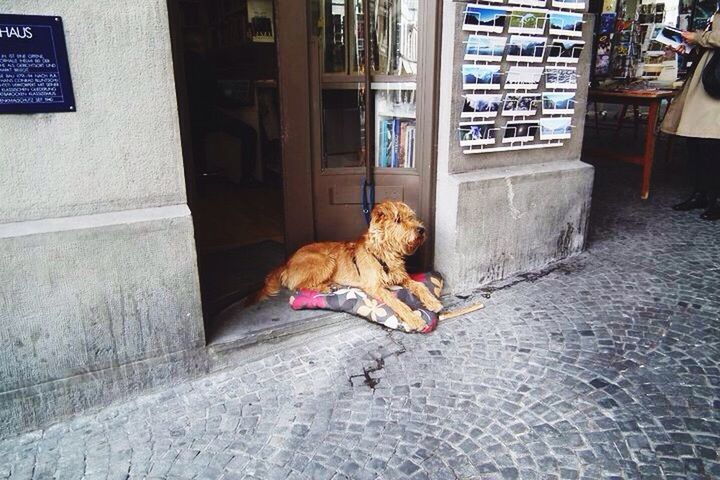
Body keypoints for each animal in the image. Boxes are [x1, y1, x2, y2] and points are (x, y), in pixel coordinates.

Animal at [249, 201, 444, 332]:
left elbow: (419, 285)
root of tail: (287, 262)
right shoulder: (375, 287)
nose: (421, 230)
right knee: (298, 285)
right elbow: (396, 301)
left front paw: (433, 302)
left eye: (411, 217)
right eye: (397, 220)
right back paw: (325, 287)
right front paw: (414, 318)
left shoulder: (402, 277)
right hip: (326, 260)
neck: (384, 252)